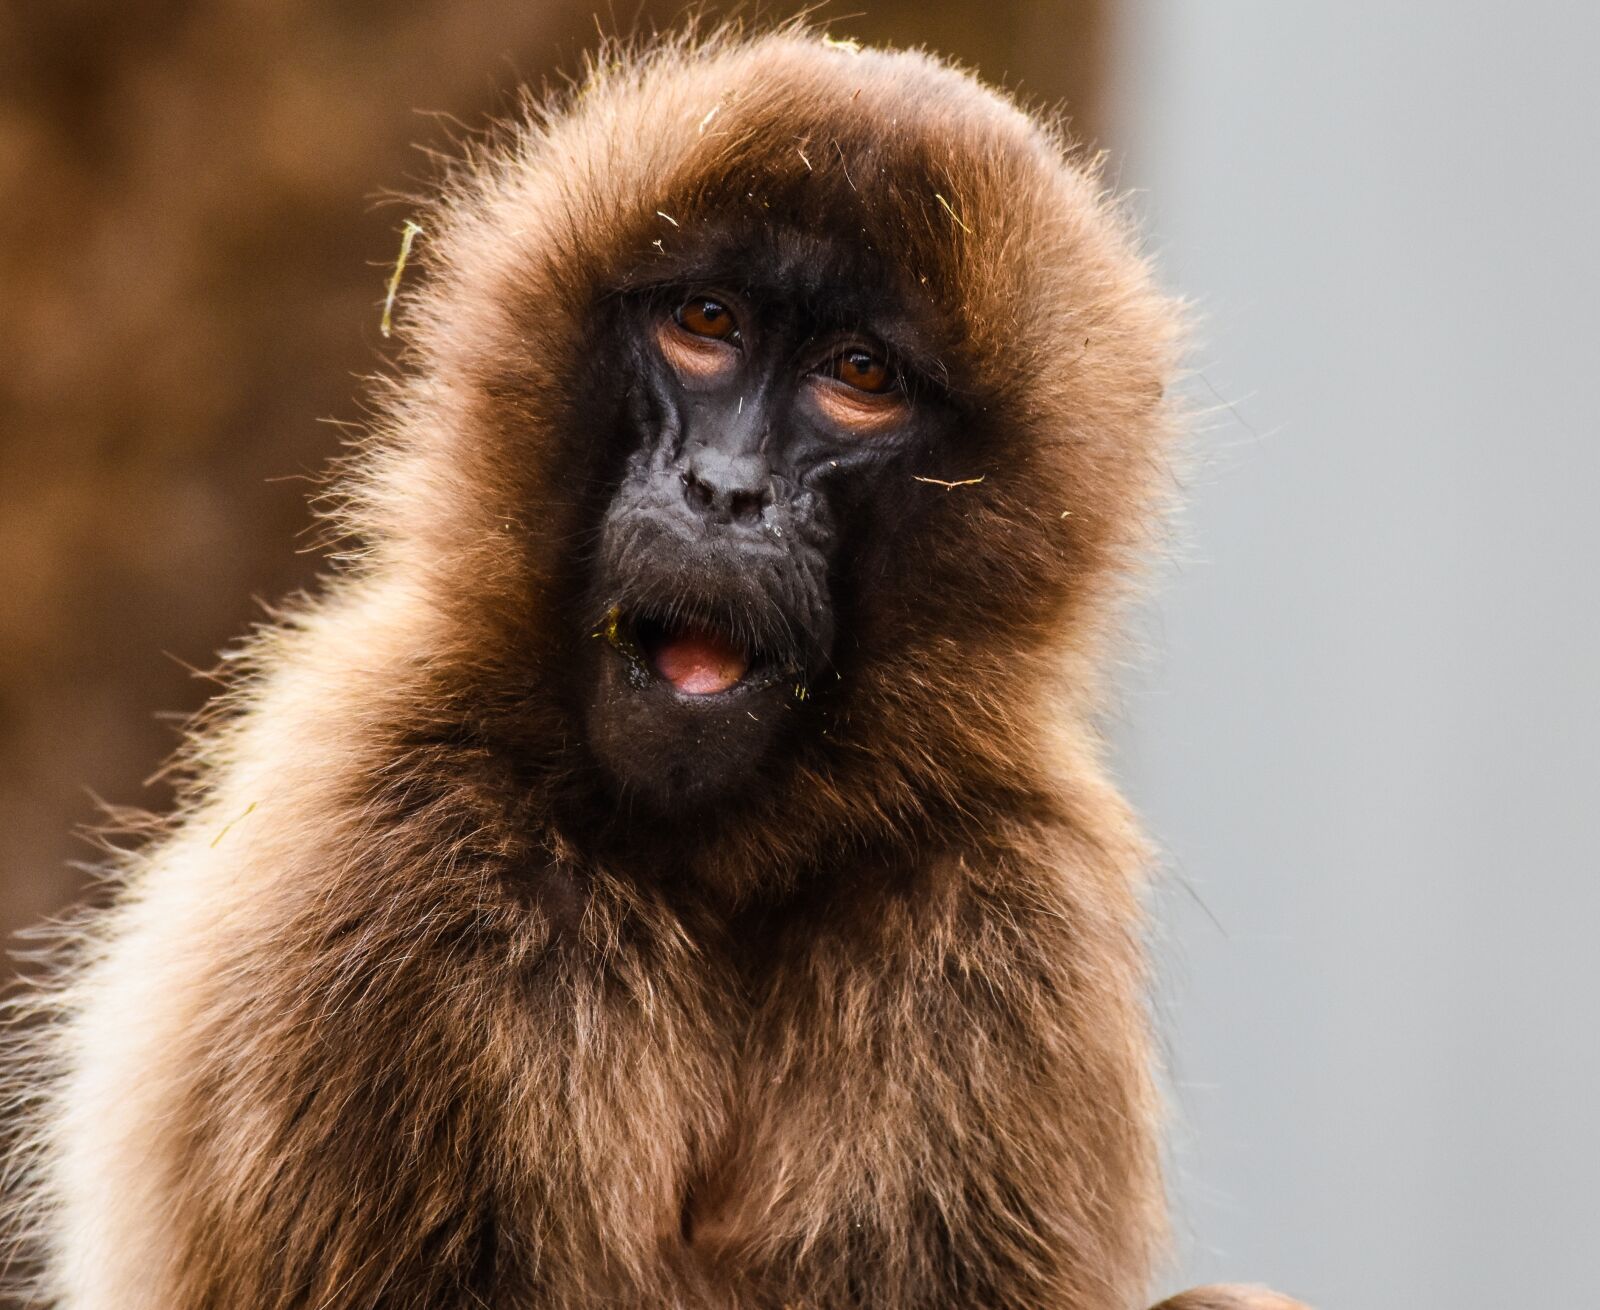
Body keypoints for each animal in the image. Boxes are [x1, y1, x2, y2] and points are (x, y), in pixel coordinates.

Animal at [0, 27, 1309, 1310]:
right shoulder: (408, 845)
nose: (722, 491)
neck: (712, 862)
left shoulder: (1004, 898)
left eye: (859, 375)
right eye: (708, 323)